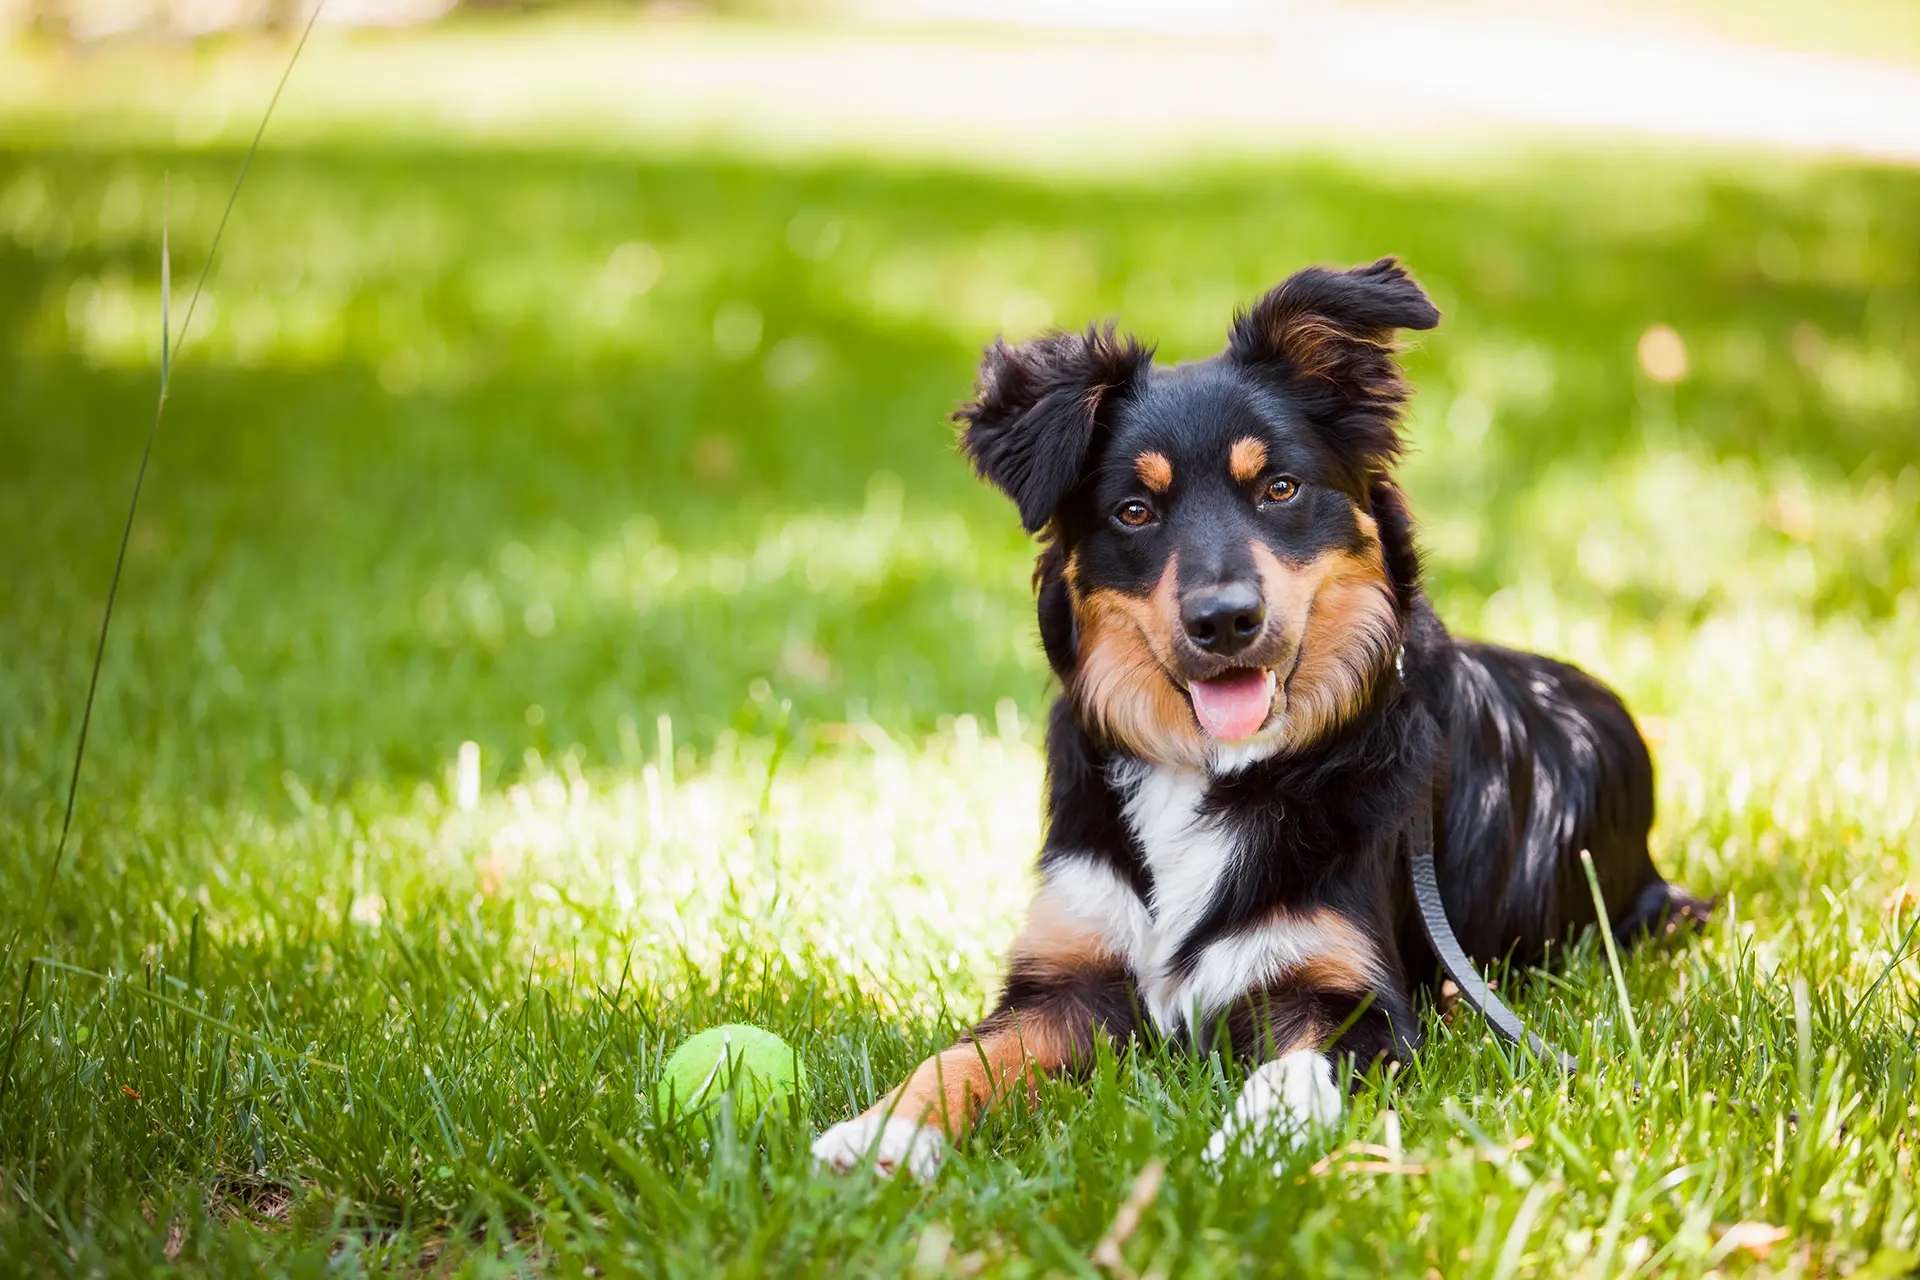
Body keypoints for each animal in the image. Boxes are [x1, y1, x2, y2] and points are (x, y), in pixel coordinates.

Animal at [810, 260, 1712, 1182]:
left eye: (1279, 488)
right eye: (1134, 511)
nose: (1224, 621)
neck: (1211, 767)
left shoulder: (1352, 996)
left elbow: (1291, 1074)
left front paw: (1248, 1154)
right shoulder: (1066, 981)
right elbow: (959, 1059)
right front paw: (884, 1134)